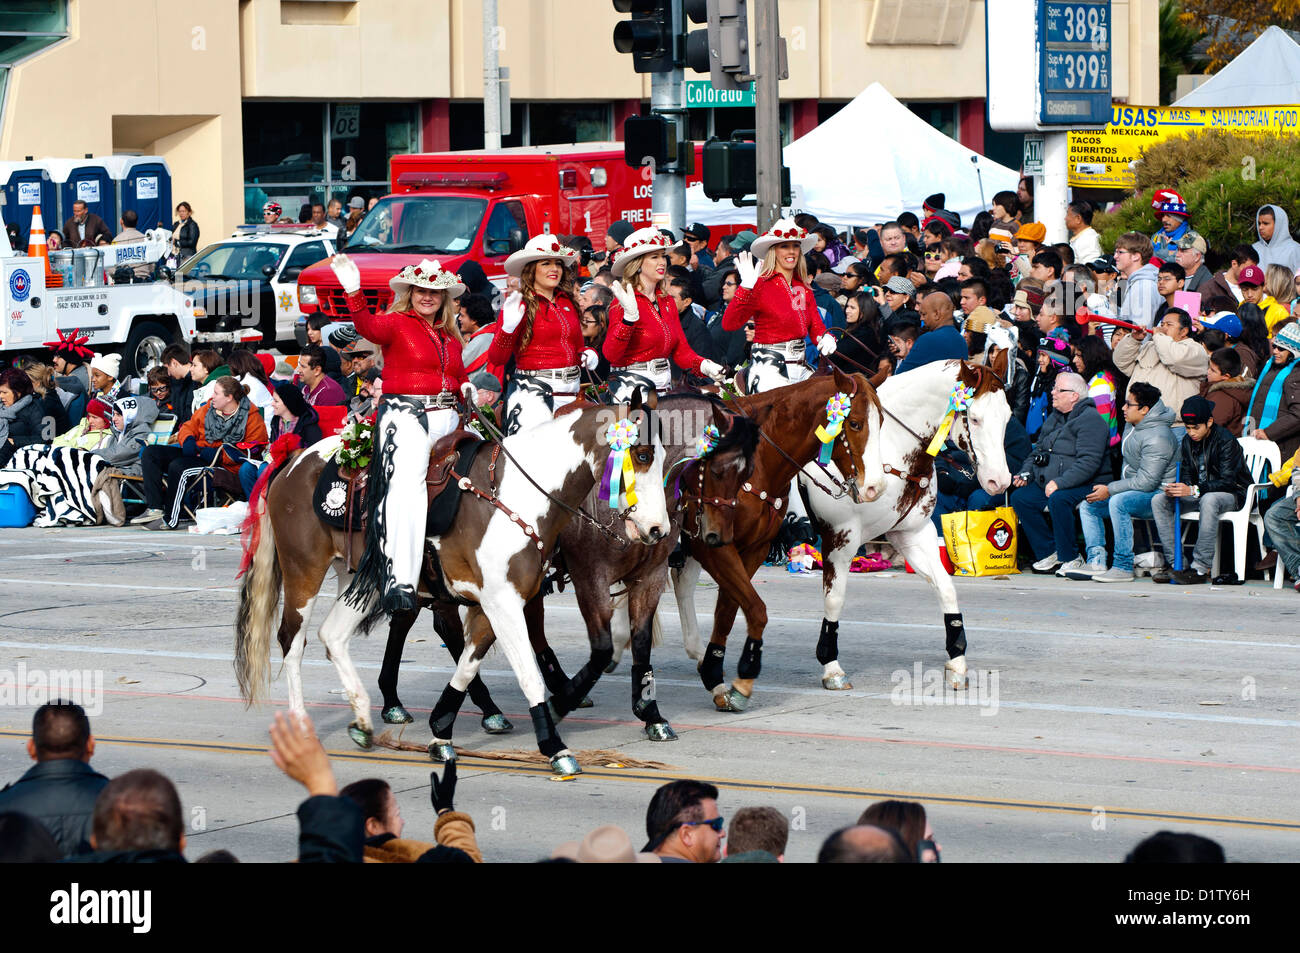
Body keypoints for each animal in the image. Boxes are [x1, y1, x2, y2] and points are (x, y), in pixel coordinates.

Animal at [235, 395, 676, 774]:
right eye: (642, 455)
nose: (659, 530)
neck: (516, 496)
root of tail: (295, 458)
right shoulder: (513, 600)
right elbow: (530, 672)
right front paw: (554, 742)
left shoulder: (494, 603)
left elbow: (467, 665)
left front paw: (440, 731)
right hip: (304, 571)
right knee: (293, 639)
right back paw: (302, 724)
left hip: (366, 580)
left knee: (333, 634)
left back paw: (362, 717)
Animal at [522, 390, 759, 738]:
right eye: (717, 470)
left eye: (747, 474)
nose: (719, 536)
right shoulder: (591, 579)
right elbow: (602, 649)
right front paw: (557, 706)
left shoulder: (650, 578)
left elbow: (642, 641)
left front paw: (650, 712)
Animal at [665, 369, 889, 712]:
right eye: (854, 423)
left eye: (882, 422)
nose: (875, 488)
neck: (758, 463)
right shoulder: (713, 545)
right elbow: (756, 608)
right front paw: (743, 677)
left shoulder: (752, 548)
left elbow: (729, 609)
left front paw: (718, 674)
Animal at [800, 356, 1013, 691]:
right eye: (976, 419)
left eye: (1007, 417)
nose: (999, 481)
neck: (889, 447)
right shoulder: (840, 539)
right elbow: (834, 599)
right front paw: (831, 665)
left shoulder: (913, 534)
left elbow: (946, 588)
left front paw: (957, 660)